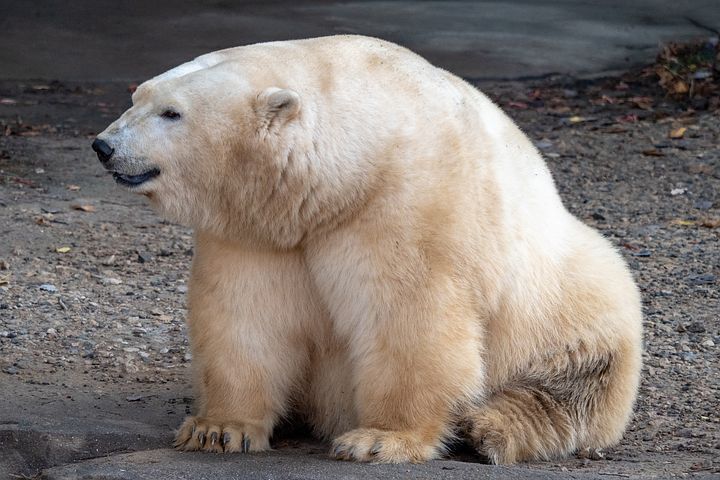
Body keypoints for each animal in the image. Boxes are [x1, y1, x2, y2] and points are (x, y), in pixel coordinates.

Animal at [93, 35, 643, 464]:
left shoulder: (406, 205)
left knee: (576, 375)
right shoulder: (259, 229)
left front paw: (380, 439)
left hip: (571, 294)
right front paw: (219, 429)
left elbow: (410, 315)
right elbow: (245, 313)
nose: (103, 146)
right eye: (137, 95)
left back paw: (493, 425)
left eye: (172, 113)